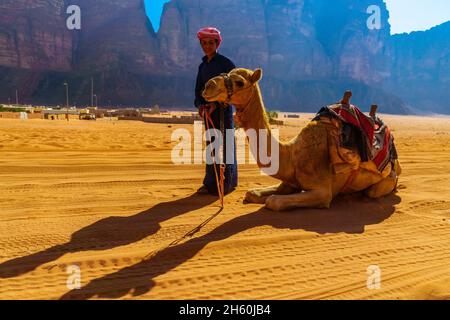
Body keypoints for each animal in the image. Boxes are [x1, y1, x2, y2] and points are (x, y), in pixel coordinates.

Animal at [202, 68, 402, 212]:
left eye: (239, 82)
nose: (208, 85)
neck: (292, 155)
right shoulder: (290, 181)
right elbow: (251, 193)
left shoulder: (322, 192)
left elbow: (273, 202)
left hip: (385, 181)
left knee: (372, 192)